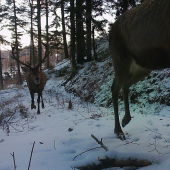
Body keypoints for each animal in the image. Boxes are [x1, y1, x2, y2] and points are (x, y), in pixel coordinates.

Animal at [109, 0, 170, 140]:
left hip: (144, 67)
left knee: (125, 84)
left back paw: (125, 119)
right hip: (120, 59)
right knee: (115, 87)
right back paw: (118, 130)